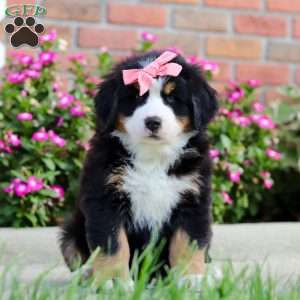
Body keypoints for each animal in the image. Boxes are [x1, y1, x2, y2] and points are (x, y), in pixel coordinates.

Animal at [59, 49, 218, 288]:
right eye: (135, 97)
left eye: (172, 98)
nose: (153, 122)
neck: (153, 157)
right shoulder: (105, 199)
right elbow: (113, 245)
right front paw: (113, 280)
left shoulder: (192, 199)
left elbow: (188, 244)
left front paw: (192, 278)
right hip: (70, 232)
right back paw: (87, 274)